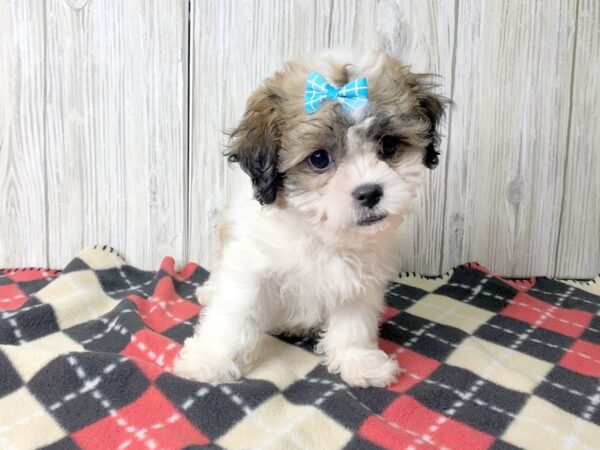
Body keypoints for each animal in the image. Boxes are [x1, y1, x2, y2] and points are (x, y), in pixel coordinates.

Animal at [173, 49, 446, 386]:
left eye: (389, 145)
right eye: (319, 159)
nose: (369, 192)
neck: (319, 233)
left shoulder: (359, 281)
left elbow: (353, 323)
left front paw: (359, 361)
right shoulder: (250, 268)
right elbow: (233, 316)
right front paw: (208, 360)